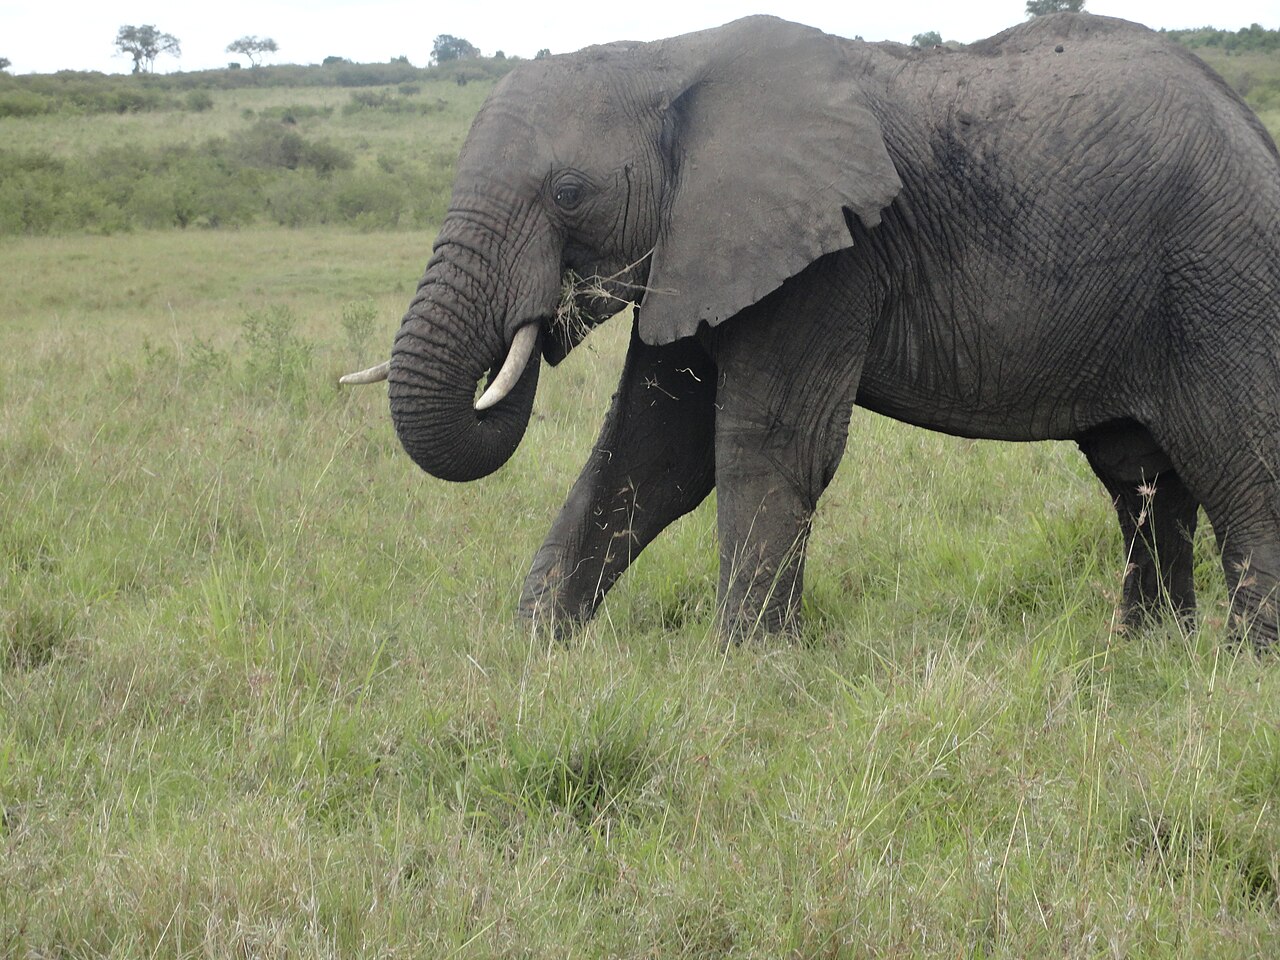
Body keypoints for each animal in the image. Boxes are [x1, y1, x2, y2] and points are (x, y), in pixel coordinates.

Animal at [344, 12, 1280, 645]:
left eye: (568, 194)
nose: (536, 324)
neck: (665, 55)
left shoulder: (828, 257)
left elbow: (766, 445)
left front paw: (745, 672)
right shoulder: (704, 242)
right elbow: (652, 450)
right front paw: (535, 653)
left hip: (1219, 277)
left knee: (1237, 461)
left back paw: (1240, 664)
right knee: (1143, 480)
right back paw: (1147, 653)